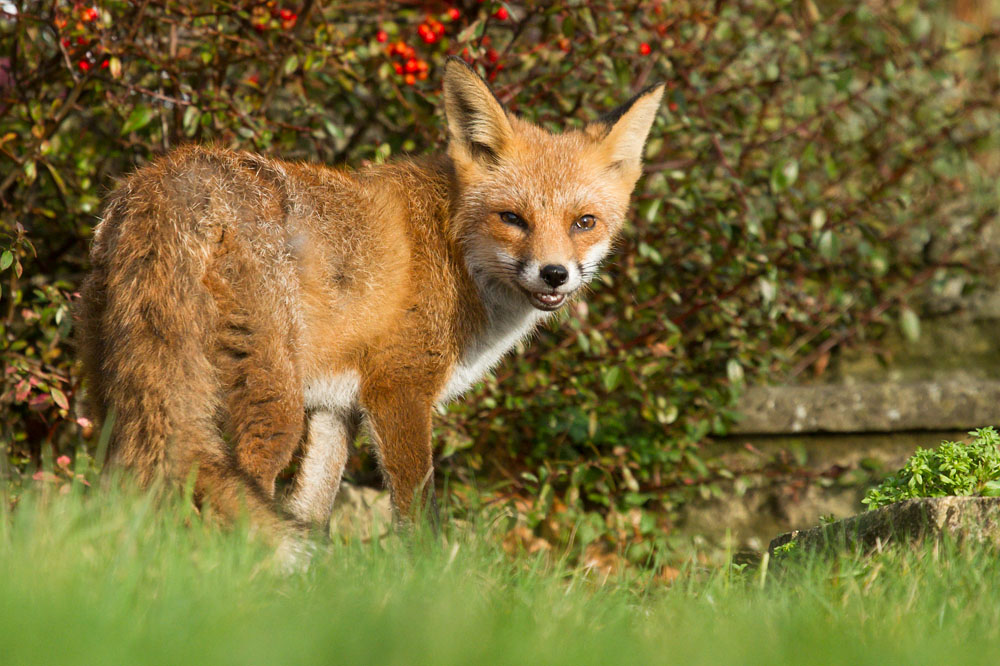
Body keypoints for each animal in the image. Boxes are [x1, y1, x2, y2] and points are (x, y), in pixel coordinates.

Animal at [78, 57, 663, 560]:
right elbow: (417, 515)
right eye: (512, 219)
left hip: (119, 394)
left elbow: (311, 509)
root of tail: (168, 178)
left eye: (584, 222)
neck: (453, 247)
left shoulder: (338, 406)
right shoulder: (398, 389)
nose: (554, 273)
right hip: (275, 403)